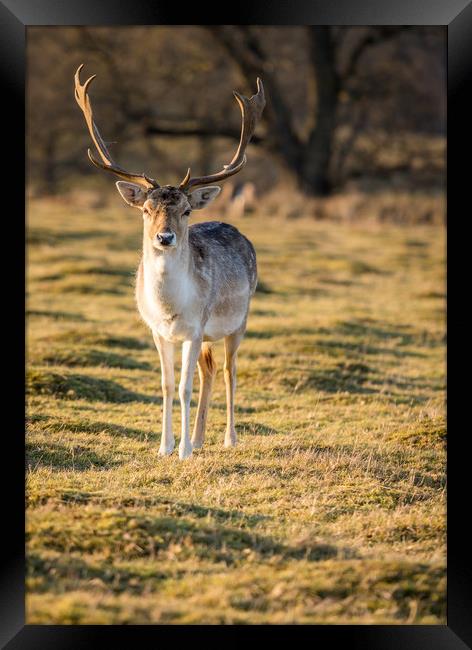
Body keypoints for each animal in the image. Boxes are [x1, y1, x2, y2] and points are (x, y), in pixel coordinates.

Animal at [74, 66, 266, 458]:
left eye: (187, 210)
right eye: (146, 209)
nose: (164, 238)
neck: (169, 307)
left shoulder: (194, 326)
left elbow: (183, 387)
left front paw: (184, 452)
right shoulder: (156, 330)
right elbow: (165, 384)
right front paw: (165, 447)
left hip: (238, 321)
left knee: (229, 370)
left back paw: (228, 438)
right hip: (210, 333)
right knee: (210, 370)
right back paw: (200, 437)